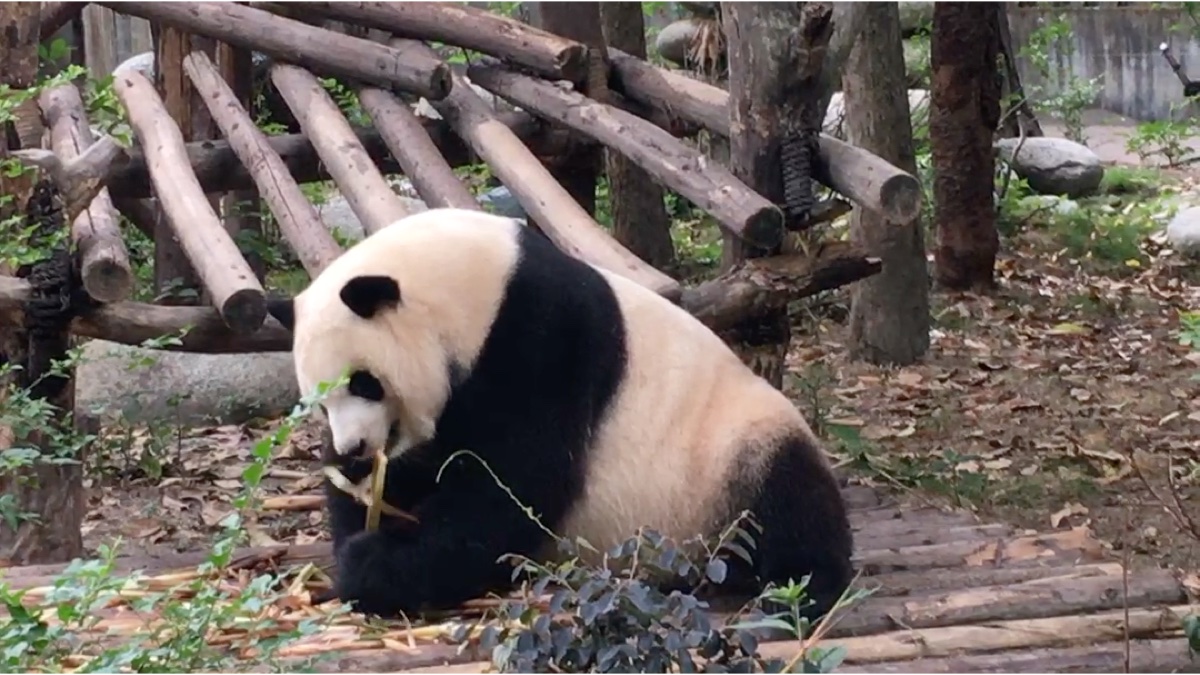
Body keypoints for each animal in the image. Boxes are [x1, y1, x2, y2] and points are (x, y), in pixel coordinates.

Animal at [267, 206, 859, 619]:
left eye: (364, 383)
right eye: (318, 402)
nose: (355, 452)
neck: (470, 285)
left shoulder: (540, 336)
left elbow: (516, 482)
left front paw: (373, 564)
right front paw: (360, 518)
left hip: (730, 445)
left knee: (789, 497)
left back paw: (800, 585)